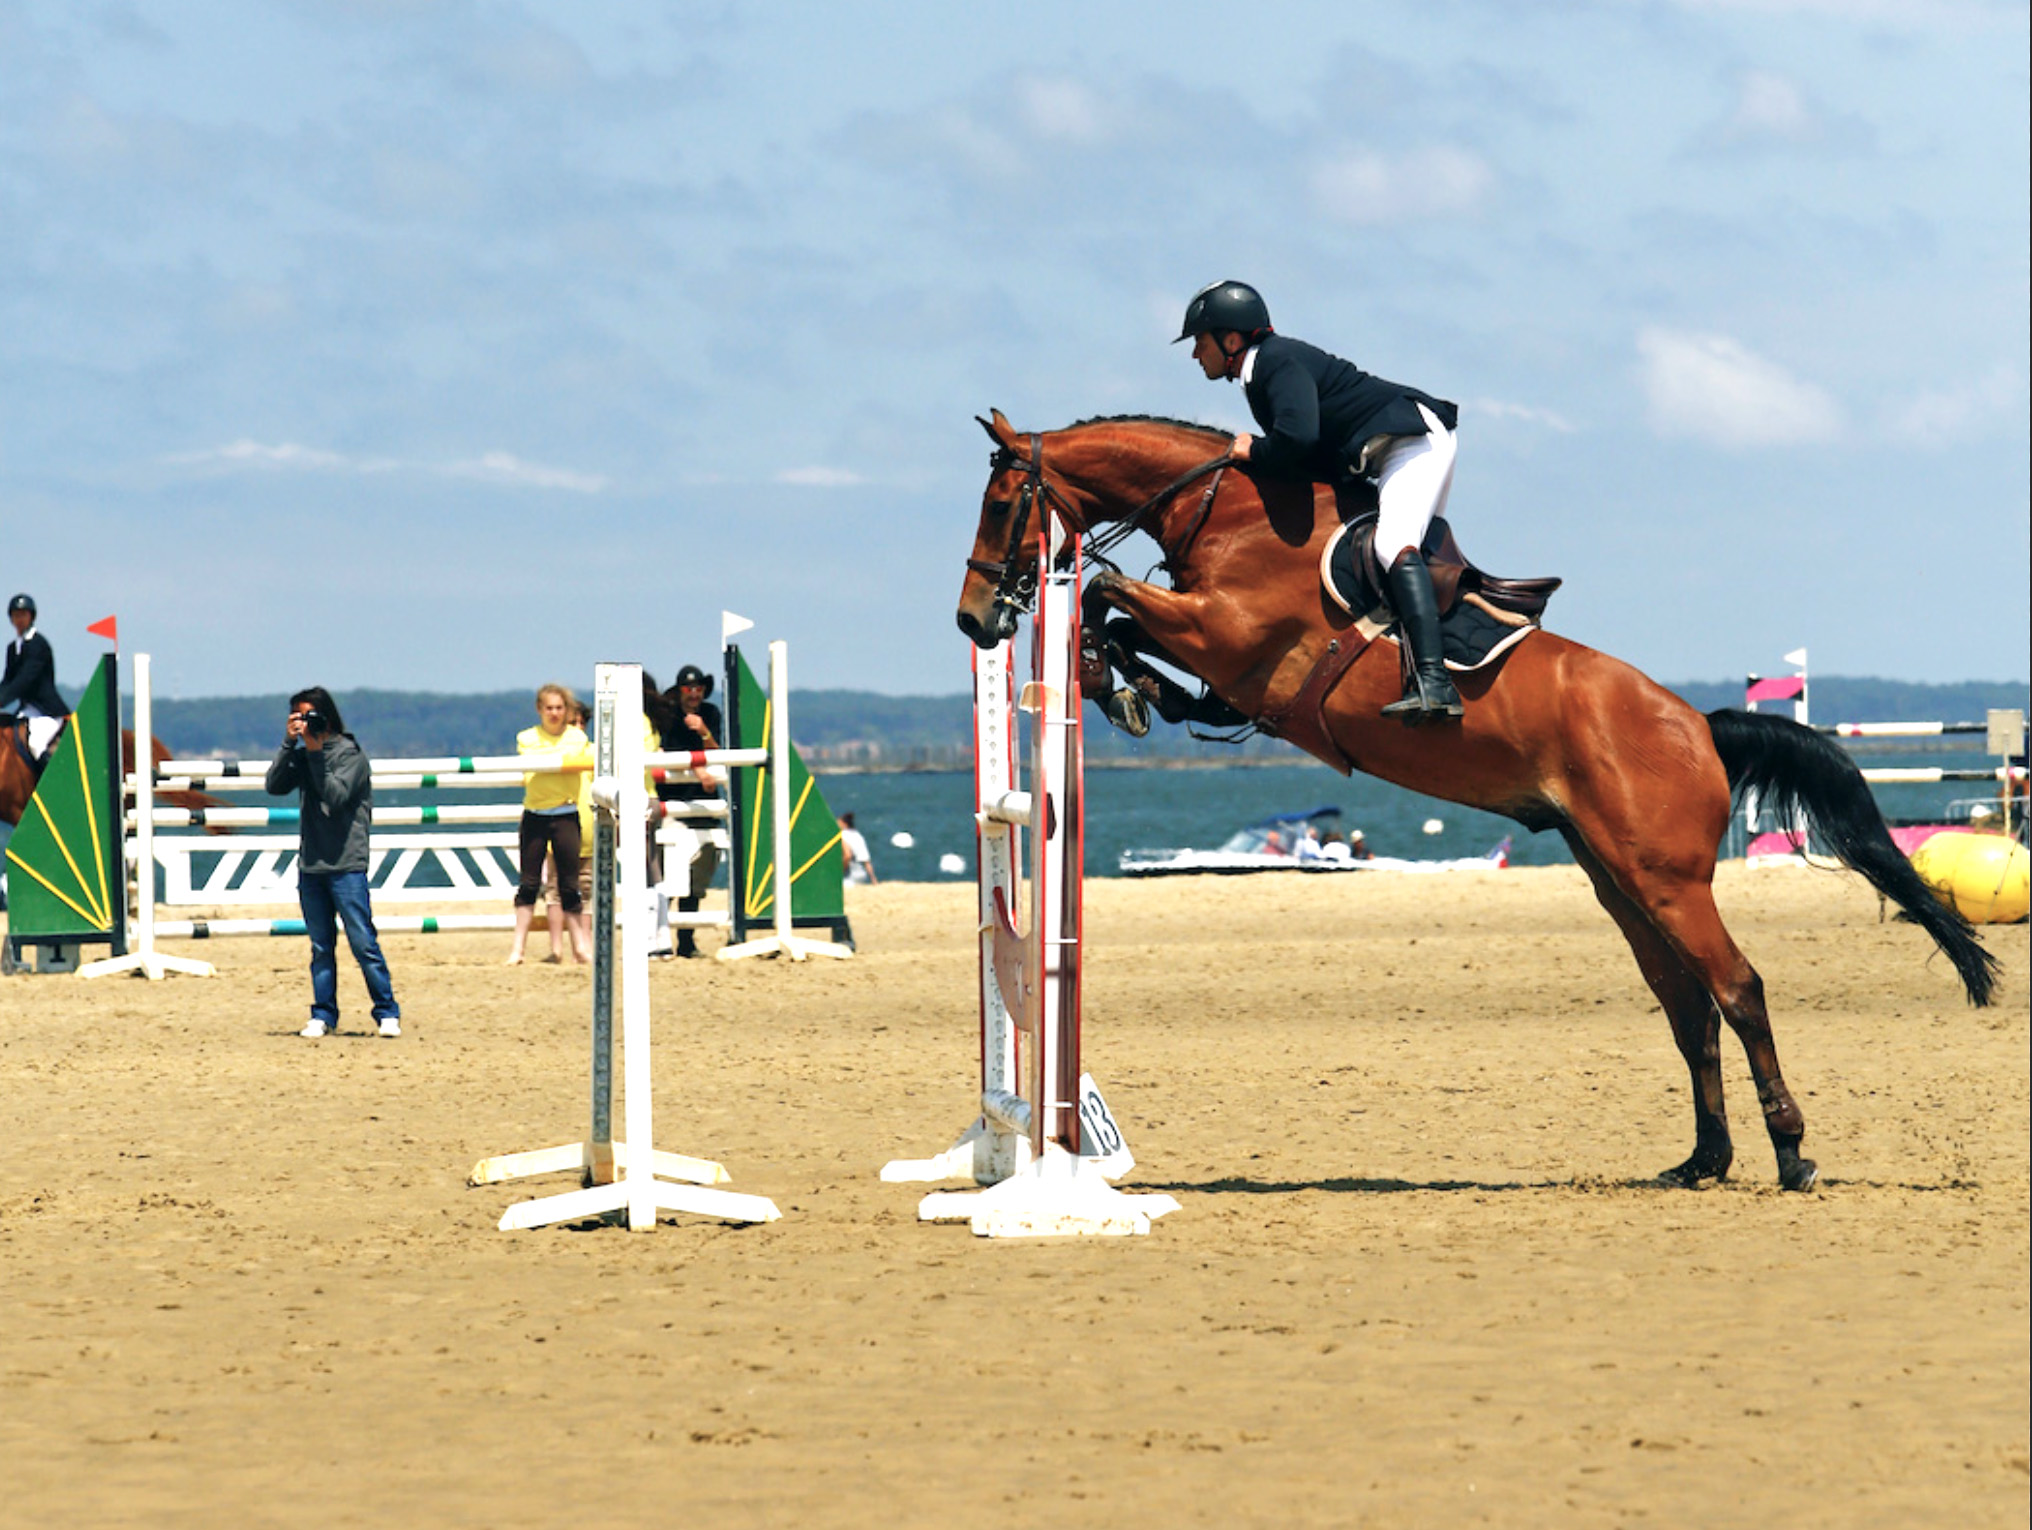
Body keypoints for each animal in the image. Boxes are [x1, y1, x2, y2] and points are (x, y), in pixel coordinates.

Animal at [959, 408, 1991, 1194]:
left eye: (1004, 503)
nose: (975, 621)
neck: (1232, 514)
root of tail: (1696, 725)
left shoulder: (1231, 635)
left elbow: (1106, 593)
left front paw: (1115, 676)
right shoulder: (1223, 655)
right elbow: (1118, 613)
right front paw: (1128, 687)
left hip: (1668, 879)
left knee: (1737, 988)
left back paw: (1790, 1153)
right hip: (1617, 876)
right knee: (1687, 1005)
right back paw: (1703, 1161)